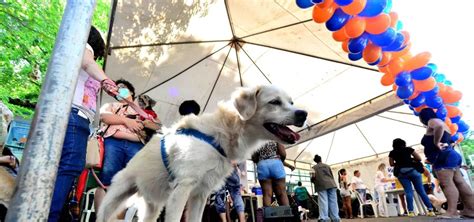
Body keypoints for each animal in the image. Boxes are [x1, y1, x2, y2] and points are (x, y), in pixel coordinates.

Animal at [98, 85, 310, 222]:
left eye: (291, 102)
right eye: (274, 102)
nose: (304, 113)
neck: (224, 132)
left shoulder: (200, 194)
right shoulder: (183, 187)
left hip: (153, 207)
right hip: (115, 196)